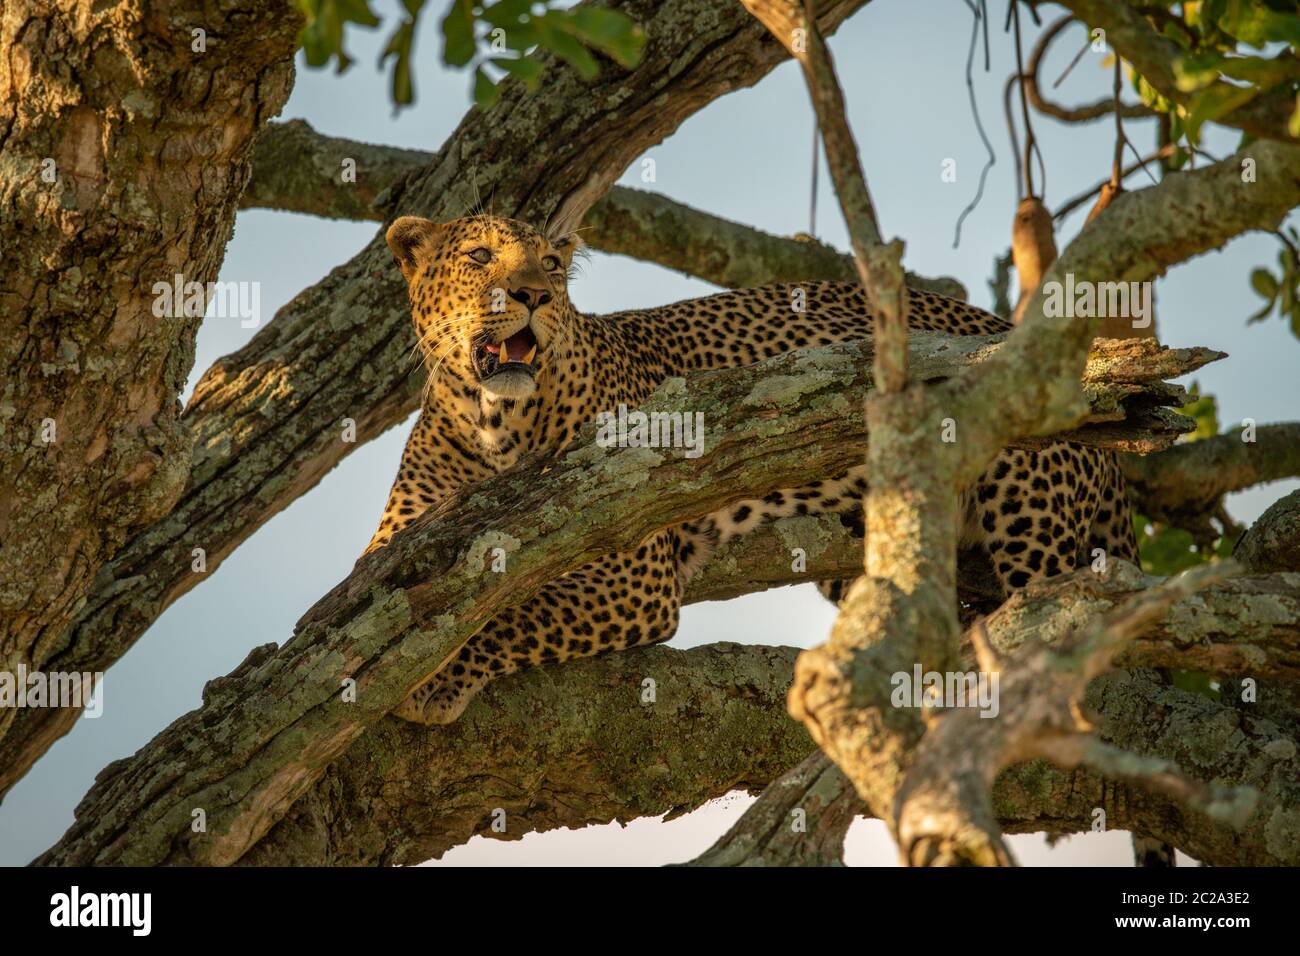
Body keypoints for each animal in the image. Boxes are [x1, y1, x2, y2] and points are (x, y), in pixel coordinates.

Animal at [366, 213, 1138, 727]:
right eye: (479, 255)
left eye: (552, 268)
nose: (535, 295)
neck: (492, 421)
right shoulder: (397, 550)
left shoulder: (631, 572)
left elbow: (514, 612)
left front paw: (431, 681)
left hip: (1027, 505)